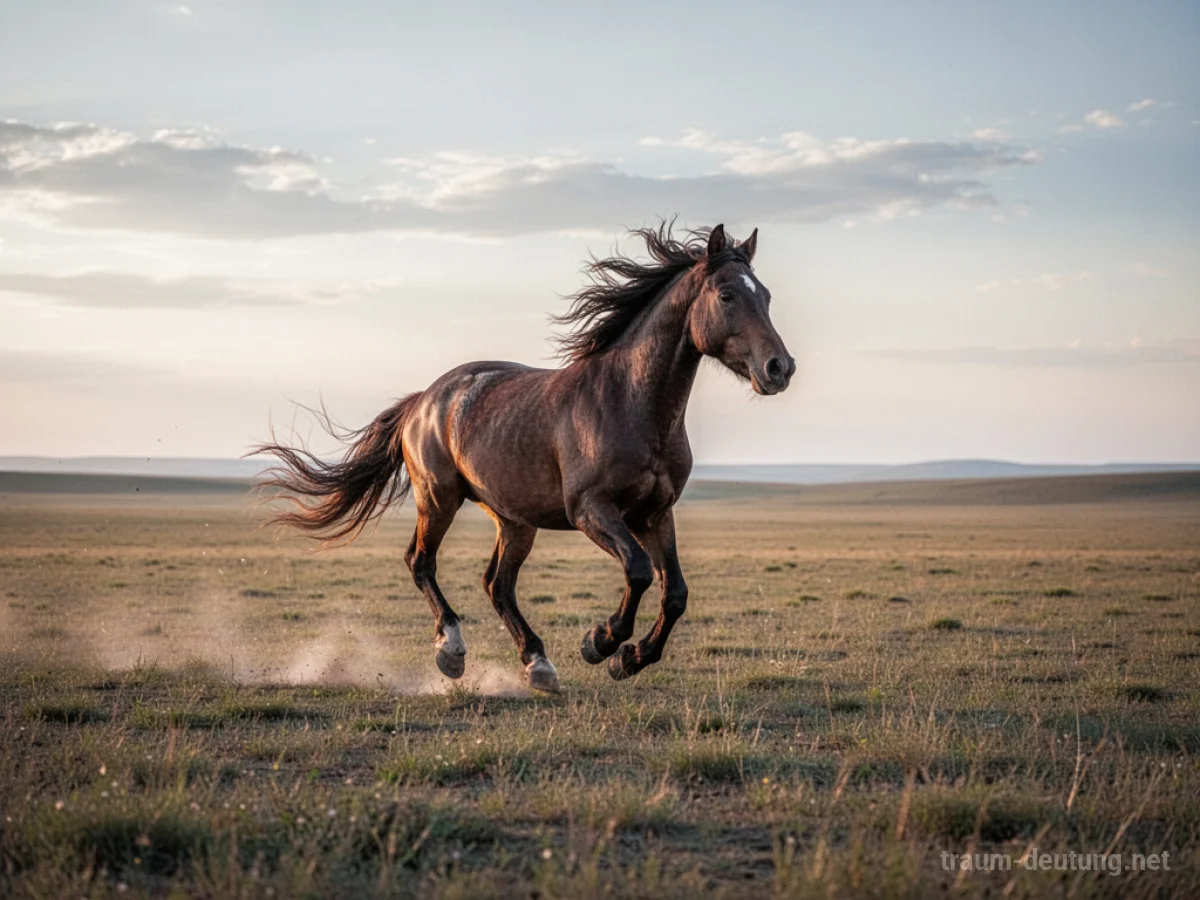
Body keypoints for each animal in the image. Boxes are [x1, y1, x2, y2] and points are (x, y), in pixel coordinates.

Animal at [256, 222, 795, 692]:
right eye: (727, 295)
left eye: (766, 296)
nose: (780, 367)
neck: (629, 401)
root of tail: (424, 399)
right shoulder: (590, 510)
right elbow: (640, 571)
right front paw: (600, 642)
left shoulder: (654, 514)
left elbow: (675, 593)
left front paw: (629, 659)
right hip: (439, 498)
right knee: (421, 562)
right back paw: (452, 651)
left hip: (515, 521)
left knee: (497, 584)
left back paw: (538, 665)